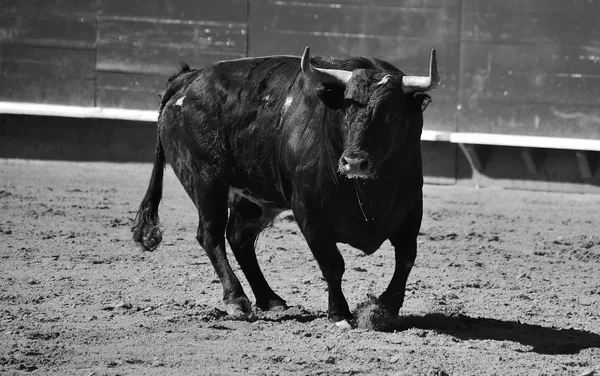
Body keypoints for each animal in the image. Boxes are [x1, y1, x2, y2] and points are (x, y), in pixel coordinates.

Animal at [132, 46, 440, 324]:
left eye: (392, 115)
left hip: (251, 200)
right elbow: (333, 264)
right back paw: (236, 300)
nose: (354, 162)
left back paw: (270, 299)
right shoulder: (309, 214)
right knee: (210, 236)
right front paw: (339, 314)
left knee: (238, 239)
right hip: (205, 182)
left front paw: (385, 307)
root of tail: (189, 79)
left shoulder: (411, 207)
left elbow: (406, 258)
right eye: (346, 111)